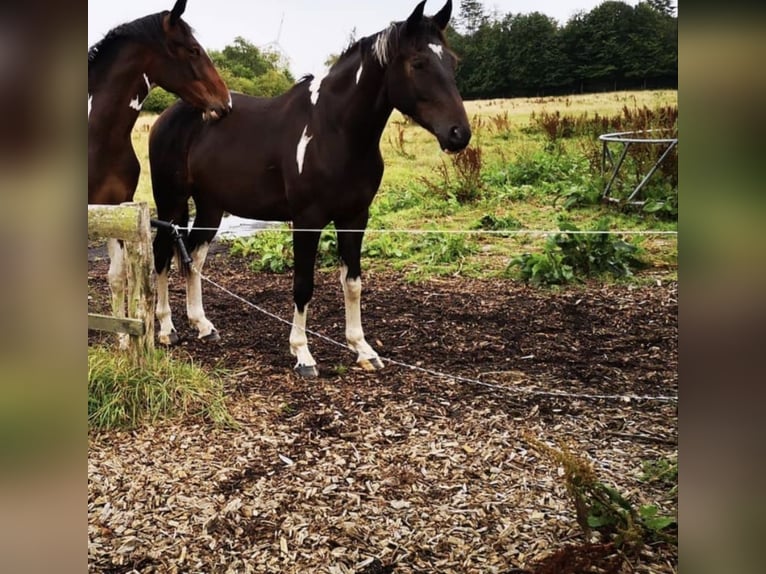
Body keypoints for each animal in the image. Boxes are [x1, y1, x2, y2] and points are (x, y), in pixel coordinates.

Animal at [150, 0, 470, 377]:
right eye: (418, 63)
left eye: (453, 62)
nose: (458, 134)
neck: (335, 131)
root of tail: (169, 115)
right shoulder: (307, 219)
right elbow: (303, 285)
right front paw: (302, 354)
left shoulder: (355, 217)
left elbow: (353, 283)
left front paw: (363, 349)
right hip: (170, 201)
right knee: (161, 255)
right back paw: (166, 329)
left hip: (211, 205)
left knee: (194, 255)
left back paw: (203, 326)